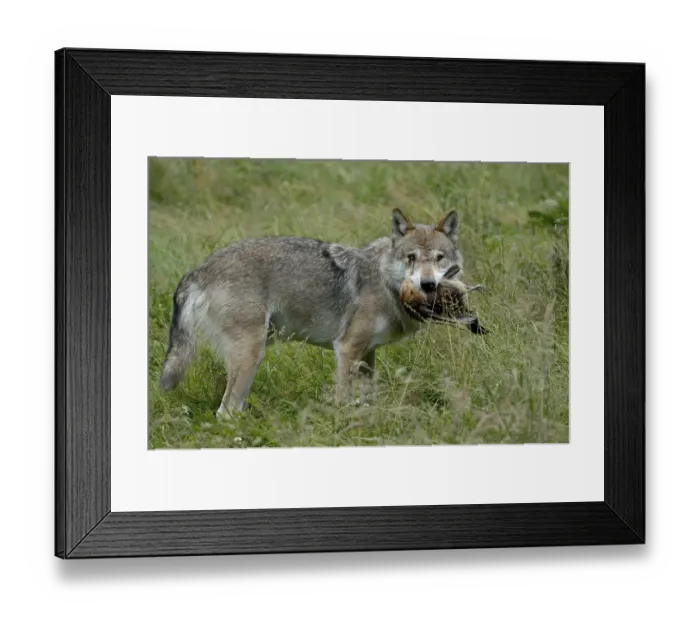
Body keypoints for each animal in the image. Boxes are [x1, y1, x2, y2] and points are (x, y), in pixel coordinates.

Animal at [159, 208, 467, 419]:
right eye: (411, 258)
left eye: (439, 258)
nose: (428, 284)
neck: (385, 281)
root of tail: (199, 269)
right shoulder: (346, 348)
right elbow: (343, 399)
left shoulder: (367, 353)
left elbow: (369, 398)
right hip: (251, 355)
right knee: (225, 411)